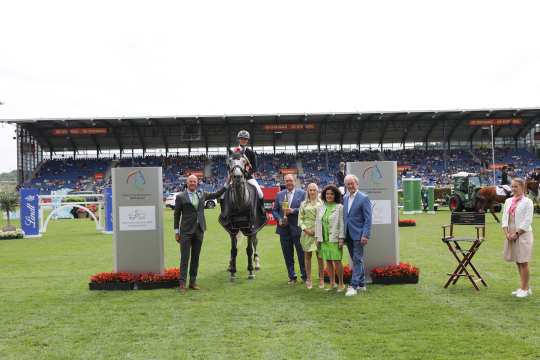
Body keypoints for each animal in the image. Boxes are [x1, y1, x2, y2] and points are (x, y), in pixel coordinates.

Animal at [218, 150, 266, 280]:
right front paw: (232, 272)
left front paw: (250, 271)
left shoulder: (249, 228)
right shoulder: (233, 229)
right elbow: (233, 250)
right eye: (229, 161)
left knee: (255, 242)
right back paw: (230, 264)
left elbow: (249, 249)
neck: (241, 202)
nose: (238, 177)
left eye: (244, 161)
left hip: (255, 228)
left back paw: (257, 263)